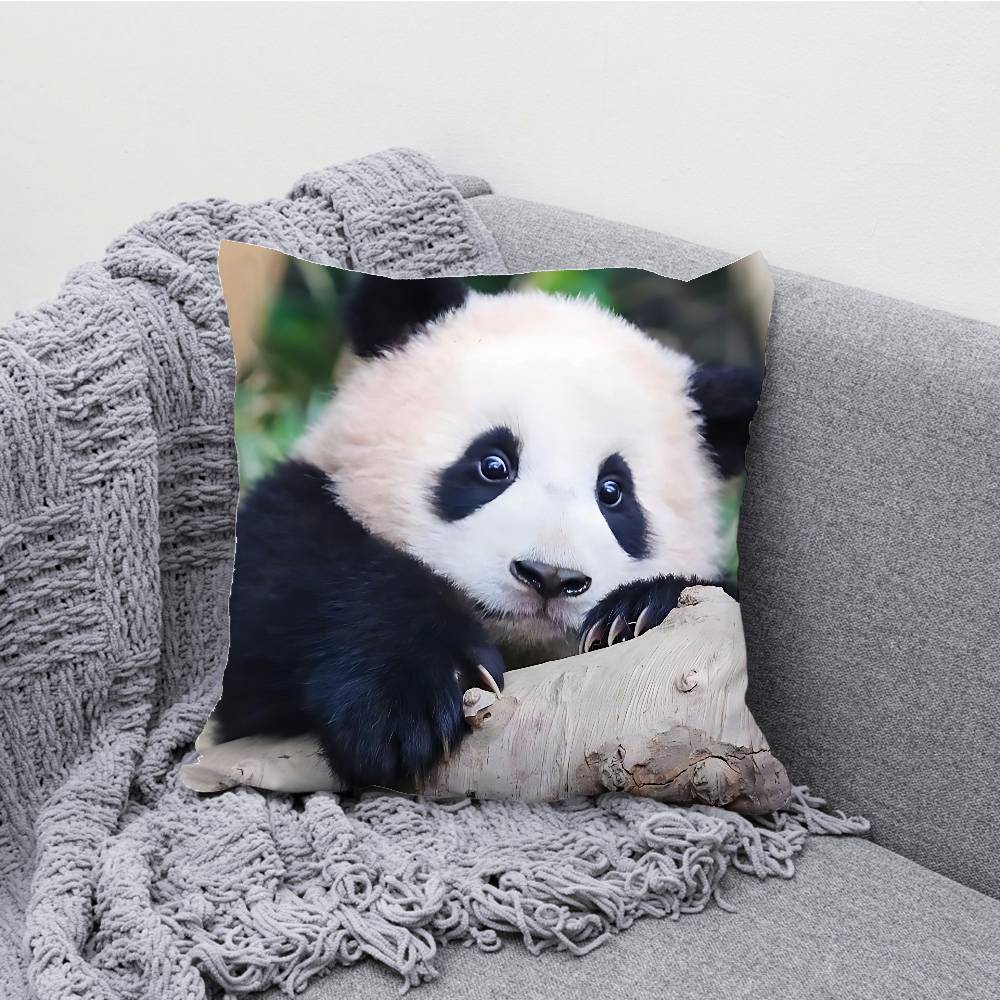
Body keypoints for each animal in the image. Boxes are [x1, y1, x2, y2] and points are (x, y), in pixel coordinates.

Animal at [214, 274, 760, 790]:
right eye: (493, 464)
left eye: (613, 492)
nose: (549, 576)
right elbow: (286, 589)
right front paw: (407, 700)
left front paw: (635, 613)